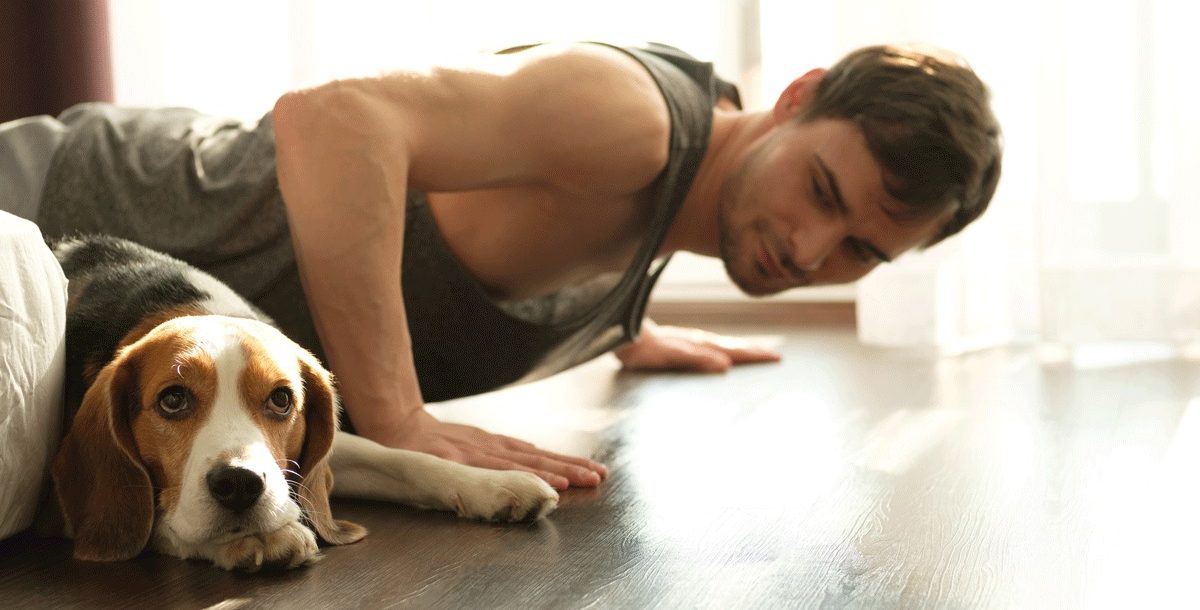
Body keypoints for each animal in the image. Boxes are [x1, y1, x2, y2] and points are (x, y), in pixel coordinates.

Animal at [50, 234, 556, 571]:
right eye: (172, 400)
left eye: (281, 399)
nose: (239, 484)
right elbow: (164, 520)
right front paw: (256, 539)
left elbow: (404, 459)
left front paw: (494, 484)